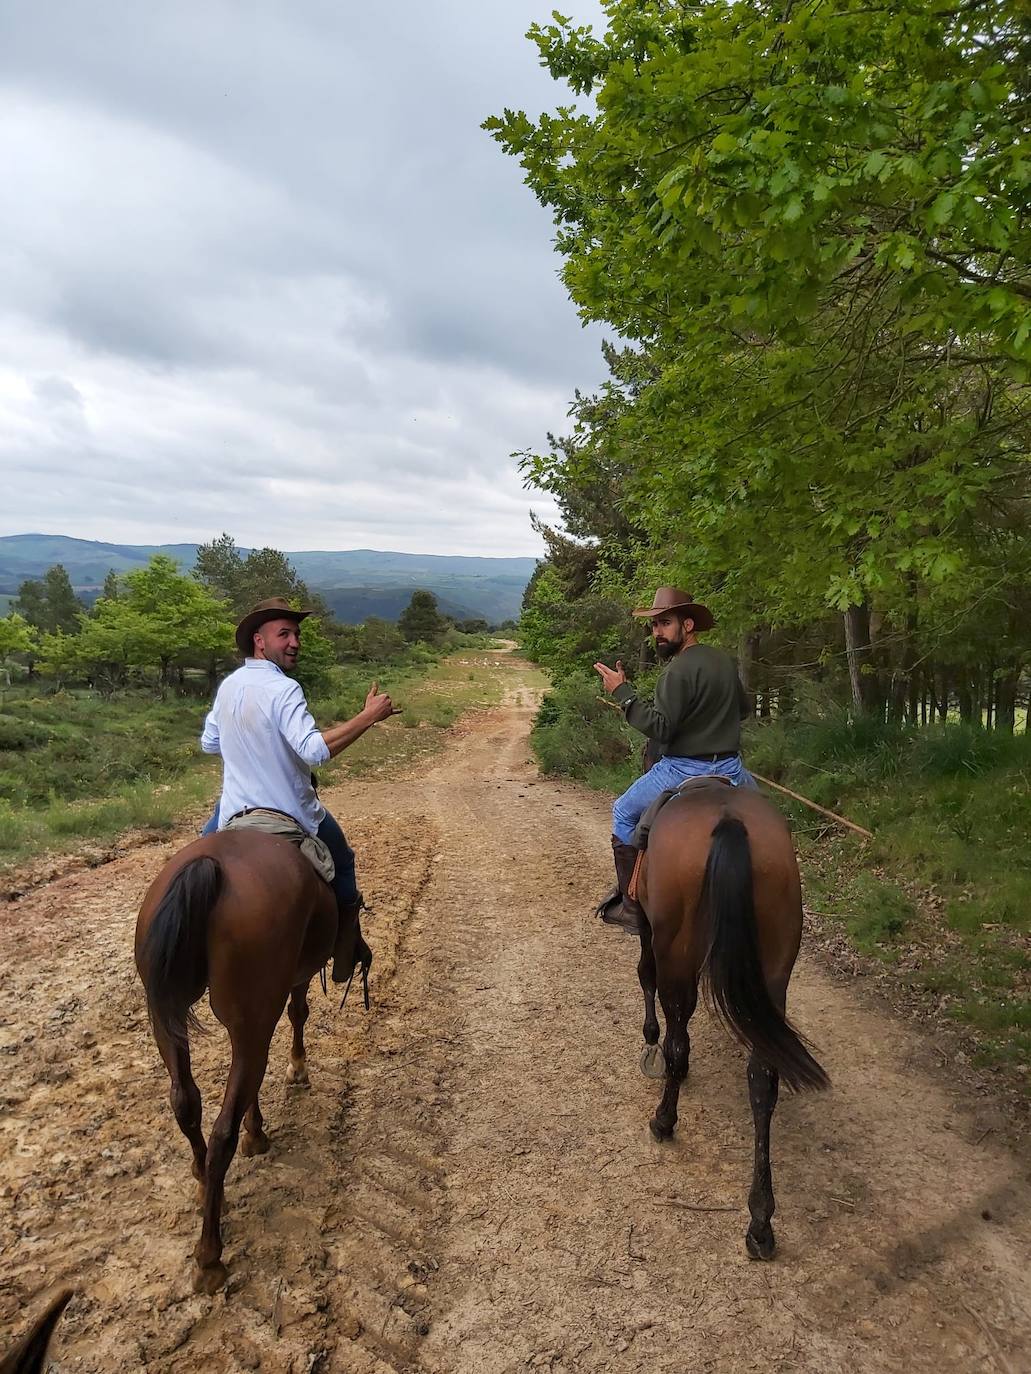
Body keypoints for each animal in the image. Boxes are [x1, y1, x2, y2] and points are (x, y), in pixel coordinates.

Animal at [134, 829, 347, 1291]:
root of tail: (209, 868)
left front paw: (258, 1129)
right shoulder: (291, 984)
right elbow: (299, 1013)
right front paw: (297, 1070)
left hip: (166, 1016)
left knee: (185, 1101)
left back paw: (202, 1186)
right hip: (249, 1015)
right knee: (221, 1132)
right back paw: (209, 1257)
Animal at [635, 780, 830, 1258]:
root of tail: (729, 821)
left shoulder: (649, 929)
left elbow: (646, 978)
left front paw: (651, 1042)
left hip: (677, 953)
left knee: (678, 1034)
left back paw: (664, 1119)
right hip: (775, 968)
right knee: (763, 1078)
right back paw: (760, 1219)